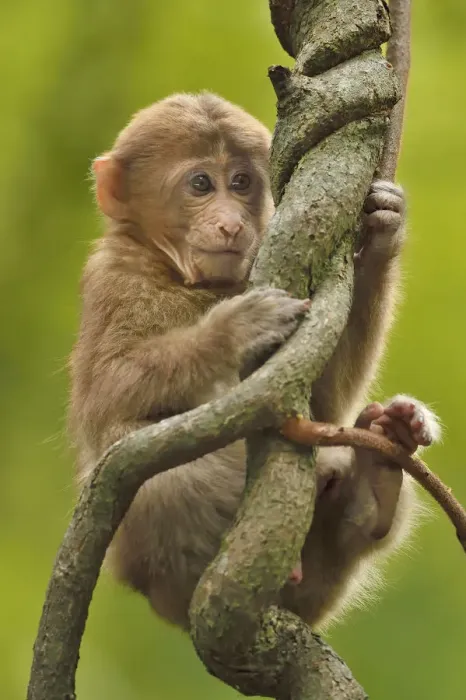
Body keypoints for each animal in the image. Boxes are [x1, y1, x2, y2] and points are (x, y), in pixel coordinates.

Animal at [69, 92, 441, 631]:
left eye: (242, 182)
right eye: (201, 184)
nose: (231, 222)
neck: (183, 276)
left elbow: (323, 402)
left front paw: (380, 235)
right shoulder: (113, 278)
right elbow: (107, 393)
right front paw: (231, 331)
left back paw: (378, 477)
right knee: (161, 479)